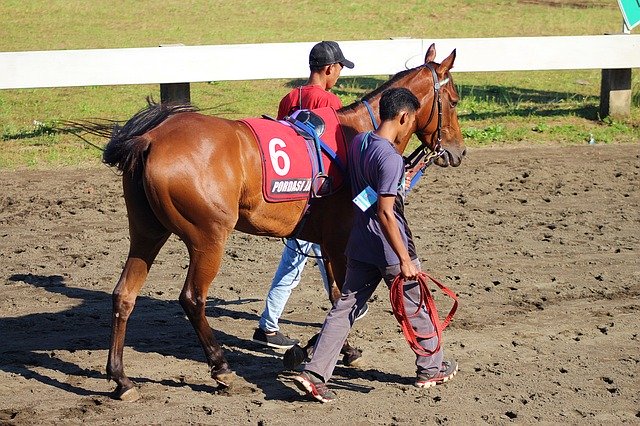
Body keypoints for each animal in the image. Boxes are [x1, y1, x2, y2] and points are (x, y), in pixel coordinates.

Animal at [100, 42, 464, 400]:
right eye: (454, 101)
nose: (458, 151)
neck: (357, 135)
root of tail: (151, 139)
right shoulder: (341, 244)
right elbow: (348, 301)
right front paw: (310, 352)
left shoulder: (327, 244)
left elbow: (338, 297)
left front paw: (334, 350)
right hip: (208, 238)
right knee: (192, 298)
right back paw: (221, 368)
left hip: (147, 232)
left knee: (124, 295)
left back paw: (122, 379)